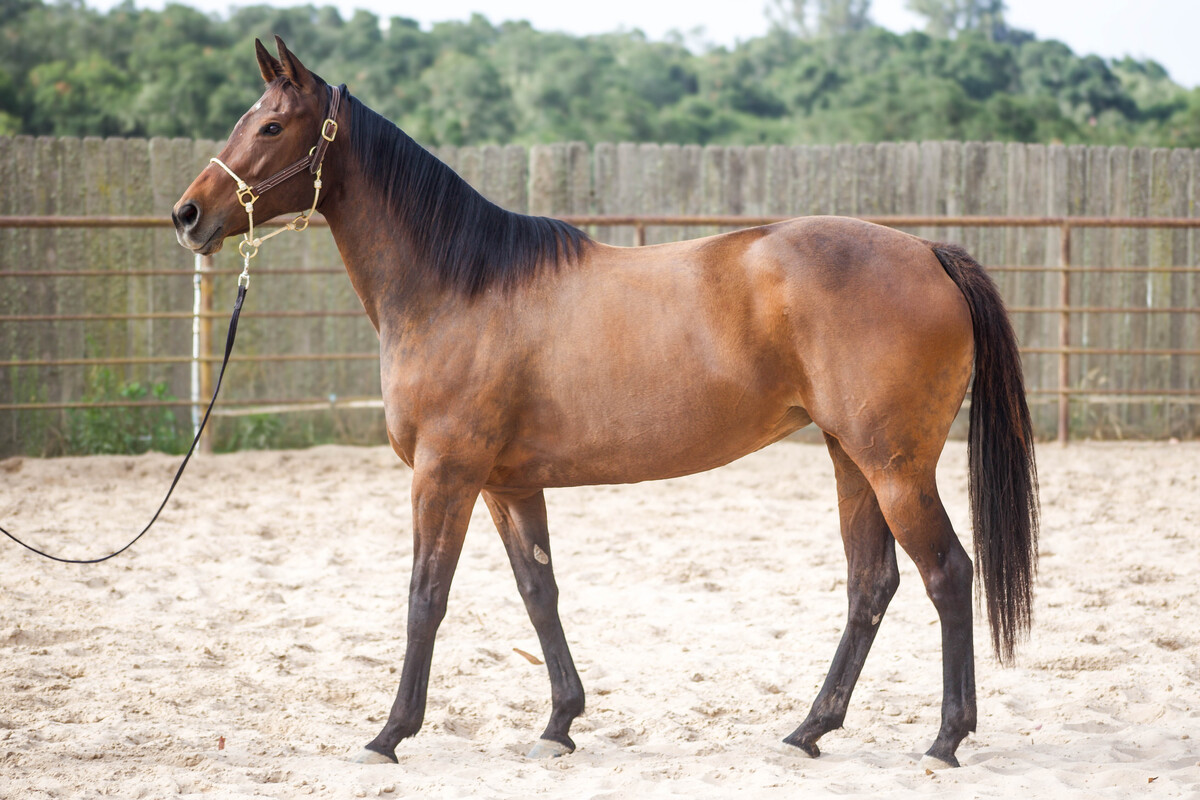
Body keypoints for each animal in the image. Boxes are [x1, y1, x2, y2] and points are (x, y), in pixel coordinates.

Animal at [172, 37, 1038, 770]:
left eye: (272, 125)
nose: (187, 214)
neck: (460, 285)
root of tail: (928, 251)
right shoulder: (508, 483)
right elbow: (539, 593)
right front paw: (559, 724)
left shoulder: (444, 474)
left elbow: (426, 597)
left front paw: (390, 734)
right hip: (850, 458)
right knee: (871, 584)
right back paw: (809, 730)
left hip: (895, 467)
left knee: (947, 573)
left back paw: (946, 739)